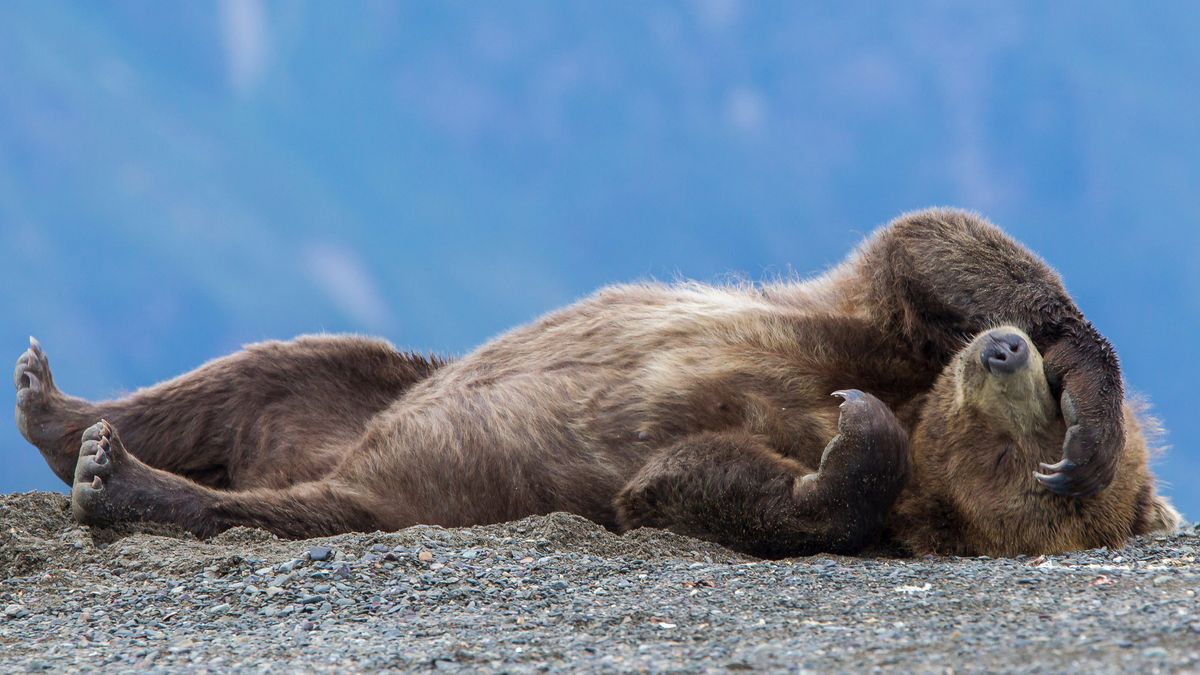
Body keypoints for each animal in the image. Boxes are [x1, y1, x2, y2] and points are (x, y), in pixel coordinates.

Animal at [11, 207, 1180, 554]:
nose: (1003, 358)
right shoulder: (861, 326)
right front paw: (1091, 396)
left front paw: (854, 450)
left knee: (299, 506)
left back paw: (119, 477)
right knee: (273, 364)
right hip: (377, 383)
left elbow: (687, 481)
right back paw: (59, 404)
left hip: (402, 488)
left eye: (1012, 450)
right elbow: (935, 247)